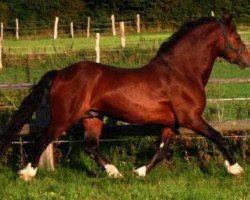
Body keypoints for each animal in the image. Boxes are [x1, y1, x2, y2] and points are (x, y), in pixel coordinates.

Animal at [0, 14, 250, 180]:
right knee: (43, 138)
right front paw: (235, 169)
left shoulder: (171, 124)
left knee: (90, 147)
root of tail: (60, 73)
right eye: (237, 37)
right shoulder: (191, 118)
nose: (247, 60)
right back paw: (26, 173)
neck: (181, 72)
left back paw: (115, 173)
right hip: (64, 118)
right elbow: (218, 137)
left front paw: (139, 172)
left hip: (92, 117)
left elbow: (161, 150)